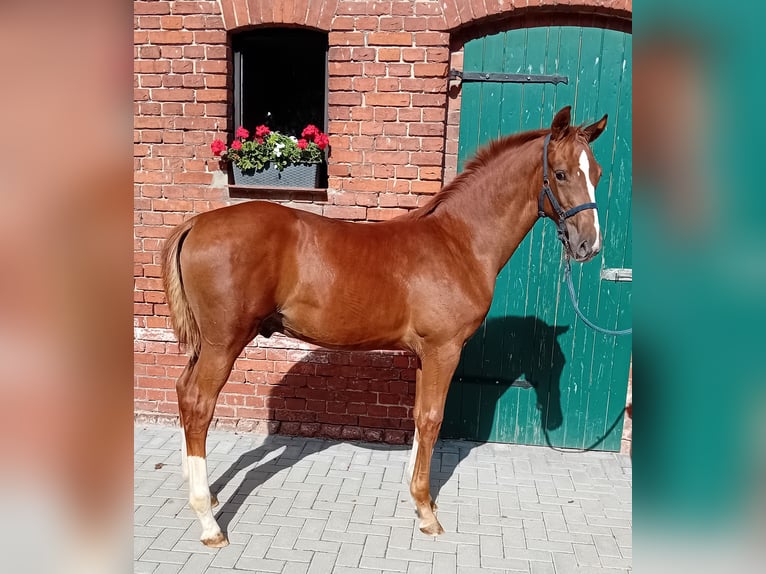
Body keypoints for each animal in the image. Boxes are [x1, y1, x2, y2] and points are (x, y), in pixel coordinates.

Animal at [161, 105, 608, 547]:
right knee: (199, 404)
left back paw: (205, 494)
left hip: (205, 344)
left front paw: (418, 498)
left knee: (183, 392)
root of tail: (196, 224)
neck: (458, 241)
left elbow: (418, 417)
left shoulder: (427, 354)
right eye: (561, 173)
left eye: (598, 173)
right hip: (223, 343)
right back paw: (208, 522)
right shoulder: (444, 349)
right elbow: (432, 418)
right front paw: (427, 512)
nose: (589, 245)